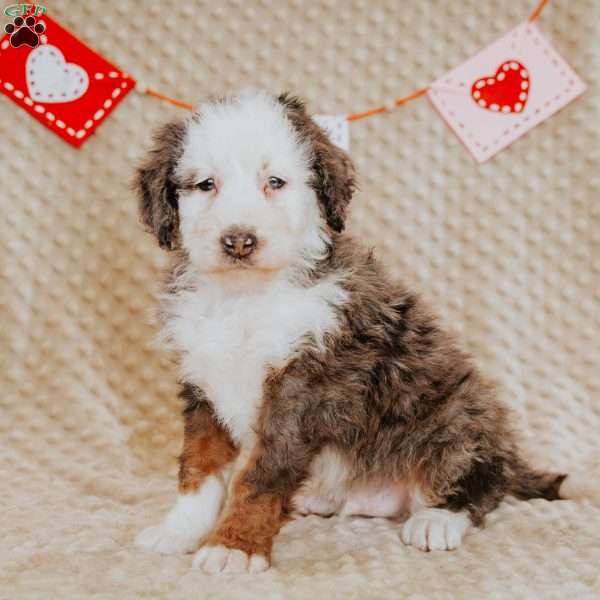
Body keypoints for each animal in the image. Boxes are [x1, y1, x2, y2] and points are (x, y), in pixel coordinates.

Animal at [135, 90, 596, 576]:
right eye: (206, 185)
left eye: (275, 182)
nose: (239, 241)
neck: (245, 297)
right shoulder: (204, 382)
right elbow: (198, 469)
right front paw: (179, 531)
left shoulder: (301, 390)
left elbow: (260, 476)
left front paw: (234, 546)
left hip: (457, 415)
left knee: (482, 482)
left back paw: (437, 519)